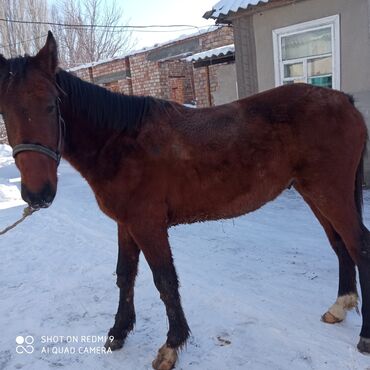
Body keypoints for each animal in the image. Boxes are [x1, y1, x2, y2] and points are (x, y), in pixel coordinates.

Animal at [0, 33, 370, 368]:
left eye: (51, 105)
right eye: (4, 113)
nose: (38, 194)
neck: (119, 140)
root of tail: (344, 101)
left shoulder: (148, 226)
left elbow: (164, 280)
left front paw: (171, 346)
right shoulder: (126, 224)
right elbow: (125, 275)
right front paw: (119, 332)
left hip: (330, 192)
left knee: (358, 245)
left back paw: (365, 335)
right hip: (314, 193)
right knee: (340, 245)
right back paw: (340, 306)